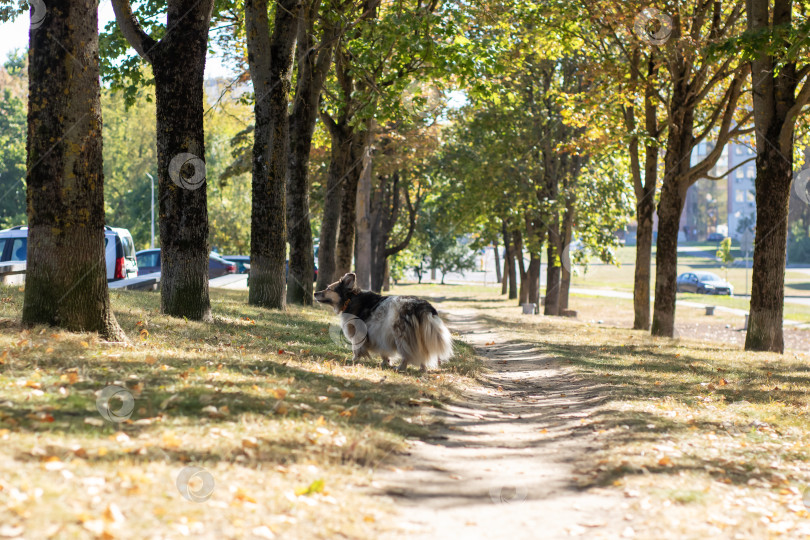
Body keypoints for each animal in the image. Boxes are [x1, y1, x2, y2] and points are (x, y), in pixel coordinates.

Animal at [314, 274, 454, 372]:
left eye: (328, 289)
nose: (314, 293)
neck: (350, 298)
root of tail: (424, 306)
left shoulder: (358, 334)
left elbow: (356, 349)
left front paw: (353, 360)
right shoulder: (379, 335)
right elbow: (383, 353)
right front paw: (385, 362)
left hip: (402, 336)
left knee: (407, 355)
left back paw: (401, 368)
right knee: (422, 355)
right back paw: (422, 369)